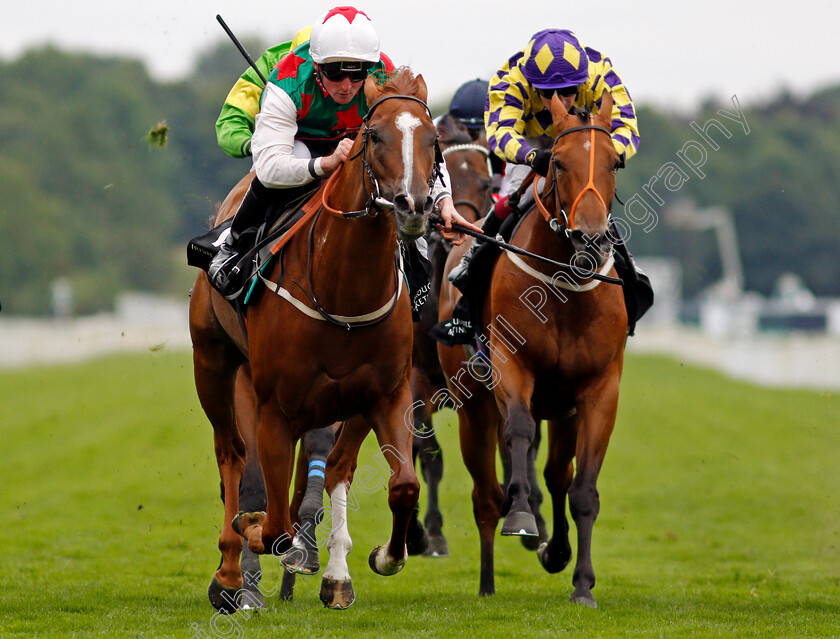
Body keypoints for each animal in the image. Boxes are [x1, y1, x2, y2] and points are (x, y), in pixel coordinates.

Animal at [189, 67, 440, 612]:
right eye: (374, 136)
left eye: (433, 140)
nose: (413, 206)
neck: (342, 290)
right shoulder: (276, 408)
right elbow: (273, 522)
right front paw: (255, 535)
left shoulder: (387, 393)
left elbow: (403, 486)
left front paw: (384, 556)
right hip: (213, 366)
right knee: (231, 455)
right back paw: (230, 573)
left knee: (339, 466)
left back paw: (335, 575)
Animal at [436, 94, 628, 604]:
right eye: (557, 162)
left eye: (614, 162)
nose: (589, 238)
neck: (565, 288)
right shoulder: (511, 364)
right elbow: (519, 431)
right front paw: (522, 516)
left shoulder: (599, 389)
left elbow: (582, 488)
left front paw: (581, 582)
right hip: (473, 407)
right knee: (486, 494)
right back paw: (487, 581)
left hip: (562, 411)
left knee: (558, 473)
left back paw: (555, 550)